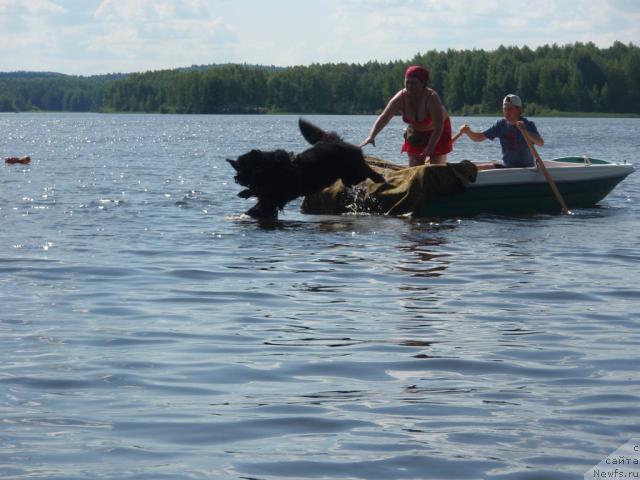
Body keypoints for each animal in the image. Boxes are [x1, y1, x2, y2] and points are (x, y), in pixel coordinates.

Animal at [228, 119, 382, 218]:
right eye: (237, 169)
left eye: (244, 169)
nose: (236, 178)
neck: (270, 170)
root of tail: (337, 141)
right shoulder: (268, 198)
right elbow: (257, 196)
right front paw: (245, 195)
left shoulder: (272, 197)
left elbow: (258, 203)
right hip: (348, 175)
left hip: (354, 172)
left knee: (366, 170)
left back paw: (379, 178)